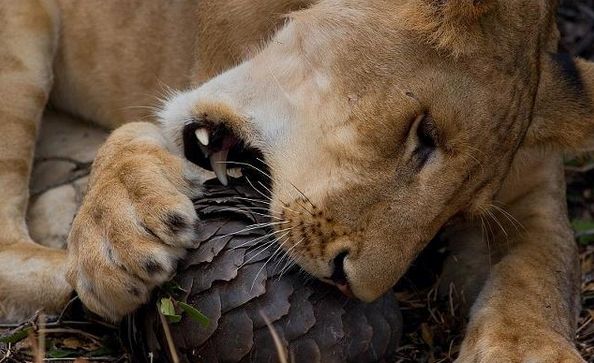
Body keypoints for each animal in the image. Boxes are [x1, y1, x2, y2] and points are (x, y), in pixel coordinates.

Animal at [0, 1, 588, 362]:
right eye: (423, 134)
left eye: (455, 216)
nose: (350, 284)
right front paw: (120, 233)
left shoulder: (534, 191)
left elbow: (539, 270)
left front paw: (524, 349)